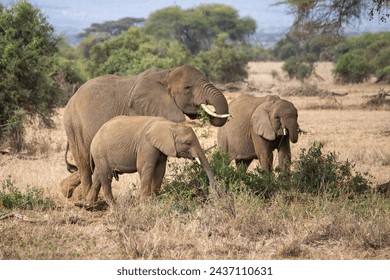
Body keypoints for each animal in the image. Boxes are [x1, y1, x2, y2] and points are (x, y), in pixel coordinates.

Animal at [86, 115, 216, 205]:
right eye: (188, 143)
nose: (212, 195)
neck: (170, 125)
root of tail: (94, 138)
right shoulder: (146, 145)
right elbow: (145, 168)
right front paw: (145, 203)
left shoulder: (160, 148)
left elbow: (160, 170)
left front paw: (155, 199)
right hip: (100, 152)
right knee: (106, 176)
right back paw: (113, 206)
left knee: (98, 175)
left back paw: (89, 204)